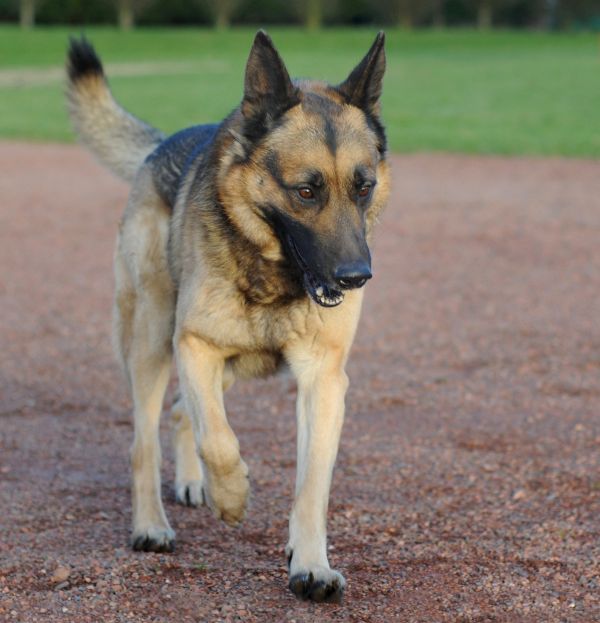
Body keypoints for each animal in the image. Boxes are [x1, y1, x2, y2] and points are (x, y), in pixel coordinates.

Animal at [67, 30, 390, 604]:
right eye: (305, 191)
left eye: (363, 186)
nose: (356, 276)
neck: (274, 276)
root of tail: (162, 144)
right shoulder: (195, 345)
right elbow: (218, 439)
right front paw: (233, 495)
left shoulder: (324, 379)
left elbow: (313, 483)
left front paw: (311, 564)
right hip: (154, 340)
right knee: (144, 440)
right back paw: (151, 524)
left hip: (229, 366)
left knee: (179, 412)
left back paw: (190, 483)